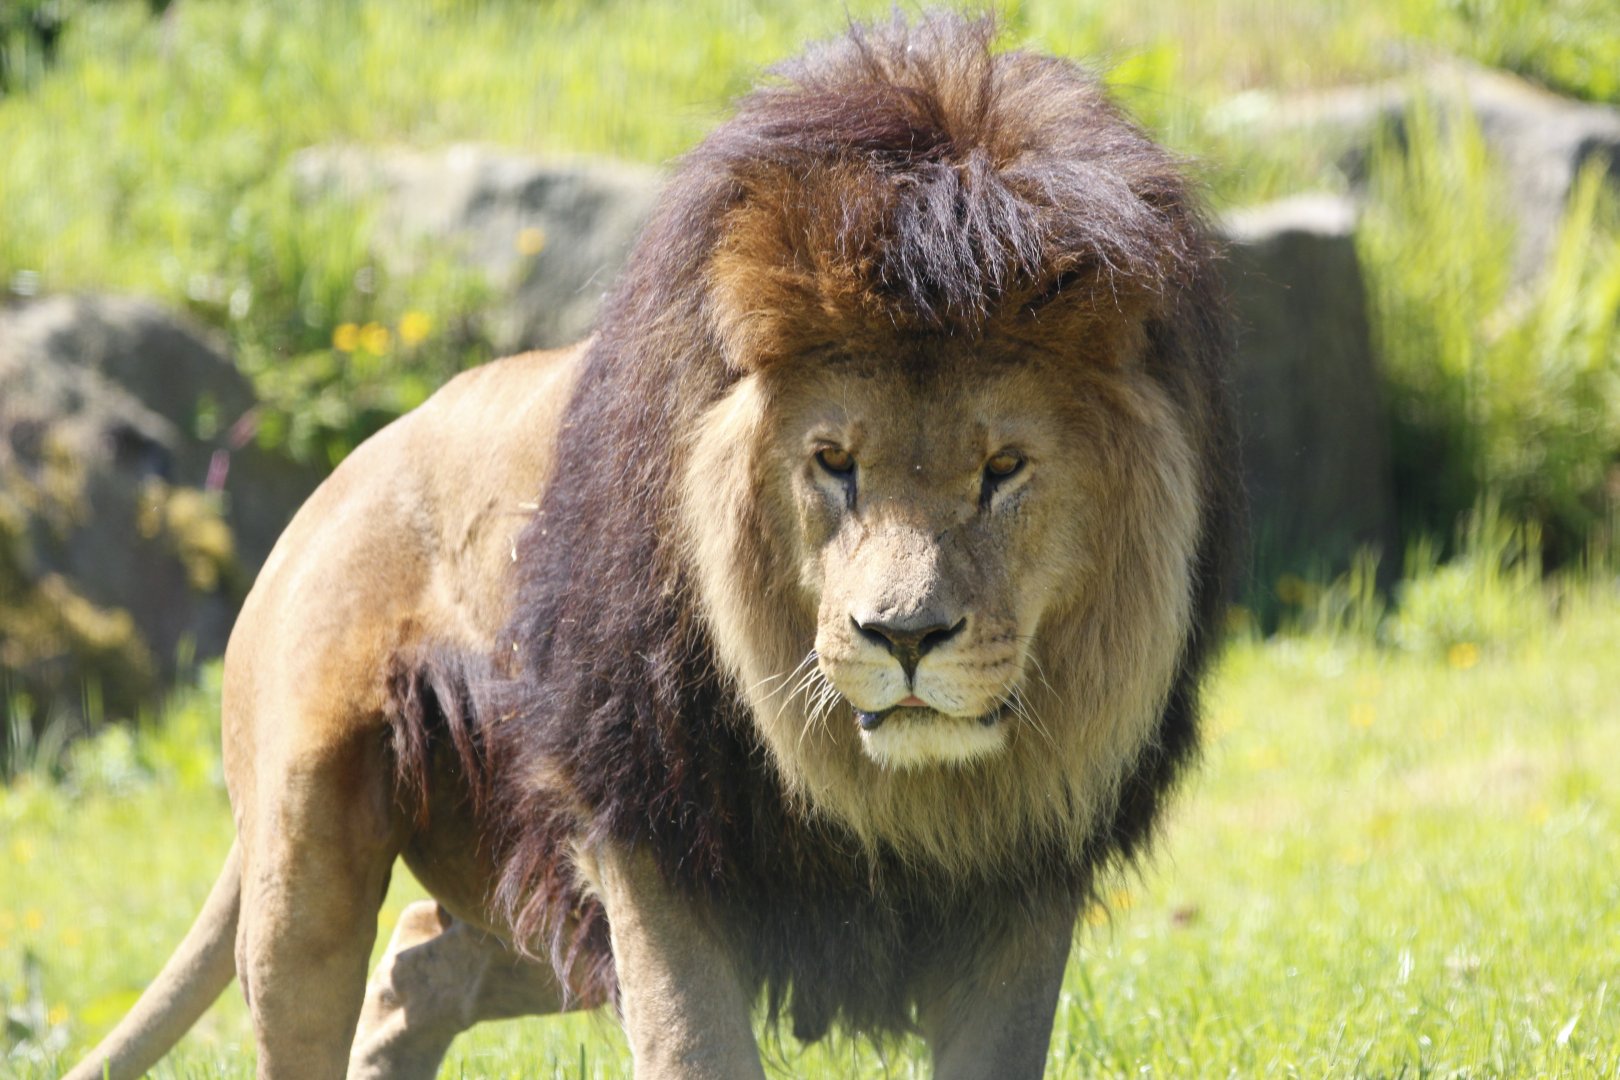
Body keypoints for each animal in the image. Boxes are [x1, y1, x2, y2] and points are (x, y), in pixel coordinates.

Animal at [66, 14, 1238, 1080]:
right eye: (834, 462)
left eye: (1003, 468)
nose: (904, 638)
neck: (886, 790)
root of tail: (341, 475)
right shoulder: (644, 824)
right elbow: (693, 1044)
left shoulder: (1031, 865)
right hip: (306, 853)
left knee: (420, 961)